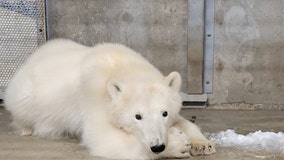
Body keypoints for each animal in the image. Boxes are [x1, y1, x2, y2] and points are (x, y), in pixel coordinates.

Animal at [4, 39, 214, 160]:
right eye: (137, 116)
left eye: (164, 113)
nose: (157, 146)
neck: (123, 66)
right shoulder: (93, 96)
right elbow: (104, 138)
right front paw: (179, 143)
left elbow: (183, 120)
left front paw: (202, 144)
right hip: (25, 97)